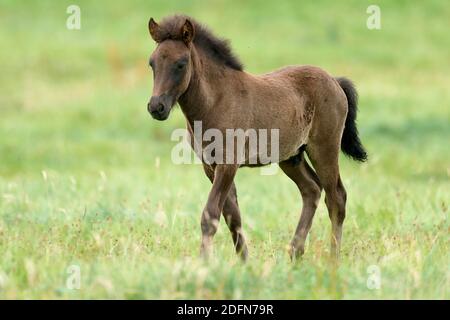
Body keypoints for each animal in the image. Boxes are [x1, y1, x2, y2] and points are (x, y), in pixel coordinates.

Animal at [146, 15, 368, 262]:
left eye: (181, 63)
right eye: (152, 63)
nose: (156, 107)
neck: (216, 101)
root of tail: (334, 81)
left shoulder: (228, 163)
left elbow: (210, 214)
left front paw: (204, 262)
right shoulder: (210, 166)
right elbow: (232, 216)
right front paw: (244, 262)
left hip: (324, 148)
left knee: (336, 197)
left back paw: (332, 259)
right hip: (291, 156)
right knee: (311, 189)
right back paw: (295, 253)